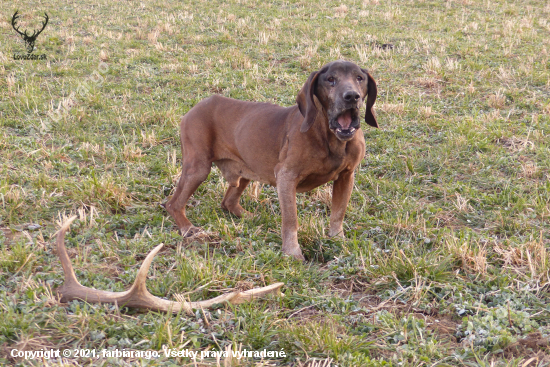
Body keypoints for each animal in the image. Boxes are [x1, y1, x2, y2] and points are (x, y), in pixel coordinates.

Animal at [165, 61, 380, 262]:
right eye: (330, 80)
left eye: (359, 78)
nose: (352, 96)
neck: (331, 138)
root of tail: (193, 109)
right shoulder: (286, 177)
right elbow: (291, 220)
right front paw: (292, 252)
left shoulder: (346, 176)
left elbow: (338, 214)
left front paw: (337, 241)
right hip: (198, 168)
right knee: (173, 204)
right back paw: (188, 228)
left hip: (245, 171)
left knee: (227, 202)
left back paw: (251, 217)